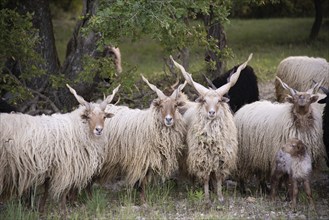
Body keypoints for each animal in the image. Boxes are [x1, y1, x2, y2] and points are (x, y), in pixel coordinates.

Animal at [95, 75, 187, 203]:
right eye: (161, 106)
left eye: (175, 106)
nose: (169, 119)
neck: (149, 124)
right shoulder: (142, 158)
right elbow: (142, 180)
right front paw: (143, 200)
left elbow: (146, 180)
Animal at [170, 53, 252, 205]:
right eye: (204, 101)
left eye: (219, 100)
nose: (212, 112)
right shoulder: (202, 158)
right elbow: (206, 178)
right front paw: (207, 198)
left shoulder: (221, 158)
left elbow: (218, 177)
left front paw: (219, 197)